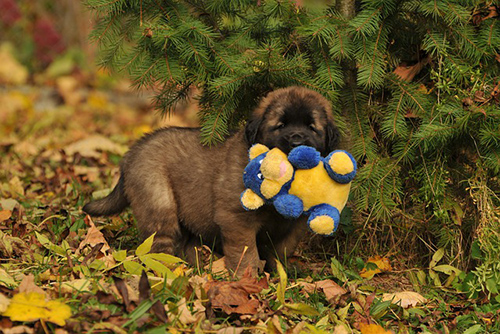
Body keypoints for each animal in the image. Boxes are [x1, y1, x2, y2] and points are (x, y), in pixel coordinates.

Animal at [83, 85, 340, 274]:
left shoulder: (294, 226)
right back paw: (168, 268)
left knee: (186, 243)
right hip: (158, 199)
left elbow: (281, 250)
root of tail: (132, 153)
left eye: (312, 127)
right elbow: (245, 252)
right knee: (160, 239)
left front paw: (280, 273)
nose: (297, 141)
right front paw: (248, 278)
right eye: (281, 125)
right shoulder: (236, 217)